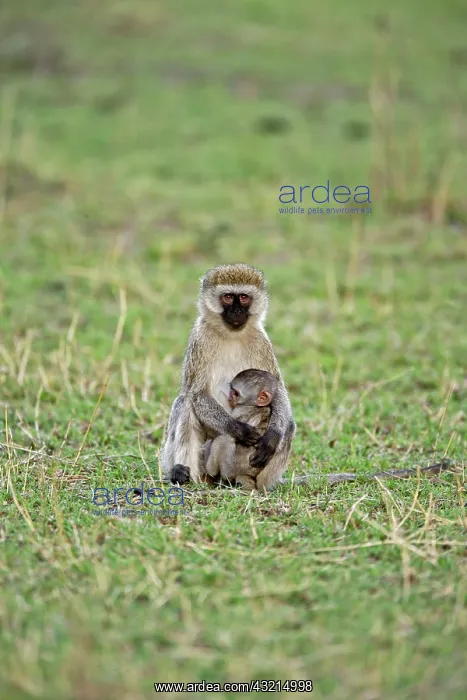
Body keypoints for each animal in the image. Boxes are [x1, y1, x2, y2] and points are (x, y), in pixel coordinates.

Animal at [160, 264, 296, 490]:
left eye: (244, 298)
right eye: (228, 297)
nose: (236, 311)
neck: (231, 334)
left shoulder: (262, 342)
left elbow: (278, 391)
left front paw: (272, 437)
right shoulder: (200, 338)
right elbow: (197, 394)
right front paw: (240, 430)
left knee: (290, 424)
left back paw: (257, 486)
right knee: (185, 403)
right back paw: (183, 473)